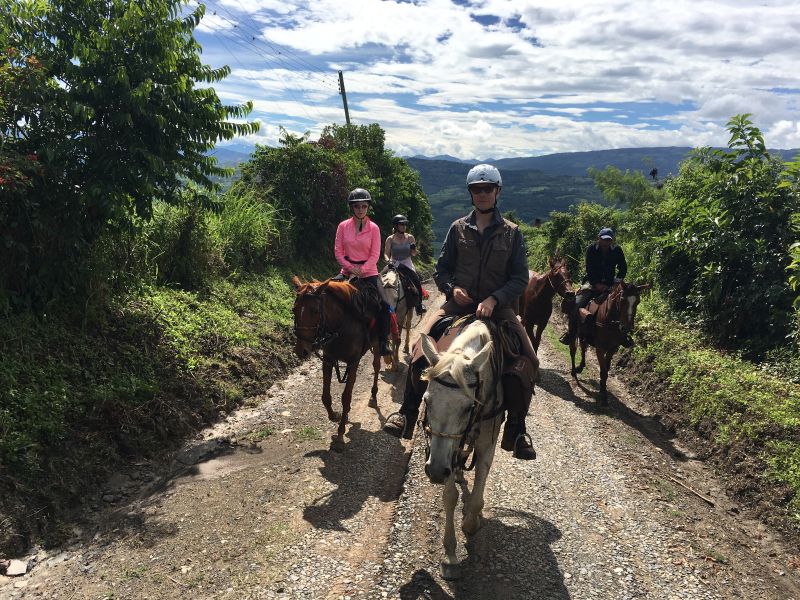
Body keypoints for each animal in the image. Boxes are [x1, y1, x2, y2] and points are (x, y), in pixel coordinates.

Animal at [294, 274, 382, 448]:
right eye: (294, 310)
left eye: (315, 311)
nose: (302, 350)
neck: (342, 326)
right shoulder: (328, 359)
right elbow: (325, 396)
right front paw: (335, 415)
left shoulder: (353, 362)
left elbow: (346, 397)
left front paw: (341, 433)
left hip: (377, 345)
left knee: (376, 366)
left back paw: (374, 396)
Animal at [418, 318, 500, 580]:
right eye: (426, 400)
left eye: (468, 407)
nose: (435, 472)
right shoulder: (446, 453)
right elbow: (450, 496)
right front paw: (450, 554)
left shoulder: (487, 440)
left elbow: (480, 482)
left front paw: (471, 522)